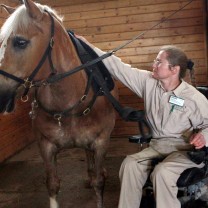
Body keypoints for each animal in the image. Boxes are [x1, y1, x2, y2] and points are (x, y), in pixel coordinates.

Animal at [0, 0, 117, 207]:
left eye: (20, 42)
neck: (68, 103)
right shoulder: (45, 146)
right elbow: (53, 184)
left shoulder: (101, 141)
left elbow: (99, 183)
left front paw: (98, 177)